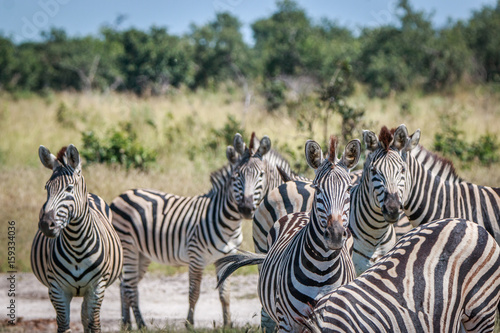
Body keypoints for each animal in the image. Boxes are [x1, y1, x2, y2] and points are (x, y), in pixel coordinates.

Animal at [31, 145, 123, 332]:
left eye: (69, 188)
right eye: (46, 188)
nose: (45, 224)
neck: (76, 244)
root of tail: (91, 194)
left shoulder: (97, 287)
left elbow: (94, 323)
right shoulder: (57, 289)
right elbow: (63, 325)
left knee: (86, 317)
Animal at [110, 137, 274, 326]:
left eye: (261, 175)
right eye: (236, 177)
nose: (246, 209)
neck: (229, 224)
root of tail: (122, 194)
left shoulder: (226, 259)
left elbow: (225, 295)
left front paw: (227, 324)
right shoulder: (196, 258)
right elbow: (194, 293)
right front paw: (189, 323)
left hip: (141, 254)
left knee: (124, 285)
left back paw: (126, 323)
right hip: (128, 246)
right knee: (129, 286)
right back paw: (141, 324)